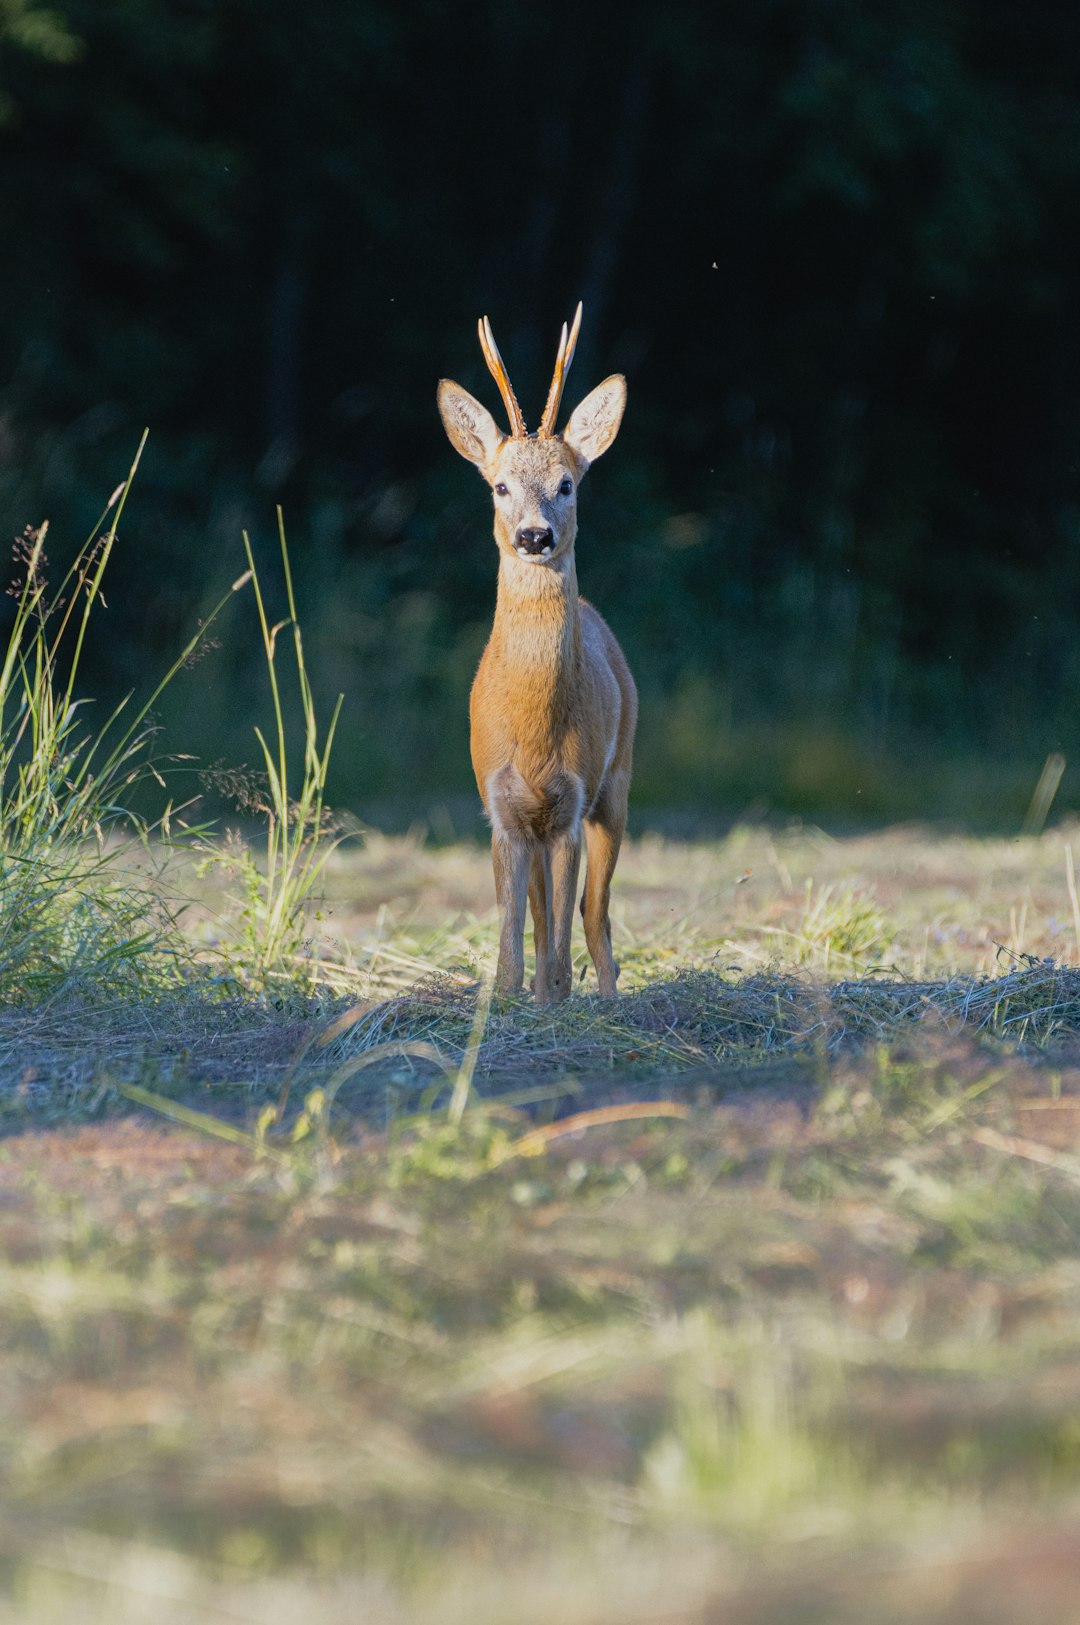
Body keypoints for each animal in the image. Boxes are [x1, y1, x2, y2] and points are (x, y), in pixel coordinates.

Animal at [438, 305, 636, 1001]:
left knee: (595, 915)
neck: (531, 725)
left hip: (617, 782)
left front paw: (555, 1001)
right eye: (499, 486)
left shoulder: (573, 801)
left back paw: (606, 998)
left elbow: (560, 938)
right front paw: (505, 999)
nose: (533, 536)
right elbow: (511, 940)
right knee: (553, 910)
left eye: (567, 483)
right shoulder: (500, 807)